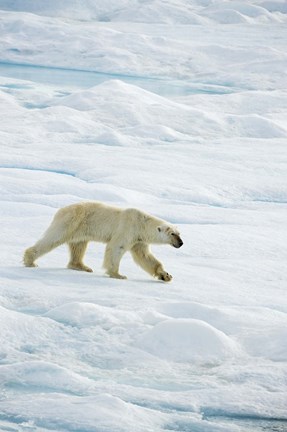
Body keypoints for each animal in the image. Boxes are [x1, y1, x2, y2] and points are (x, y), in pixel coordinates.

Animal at [23, 202, 183, 282]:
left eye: (179, 234)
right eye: (172, 234)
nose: (181, 243)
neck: (141, 223)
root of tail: (60, 210)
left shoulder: (139, 239)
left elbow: (145, 257)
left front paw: (166, 275)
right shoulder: (127, 229)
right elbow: (116, 247)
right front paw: (118, 275)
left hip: (81, 229)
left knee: (79, 246)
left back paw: (82, 266)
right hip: (71, 221)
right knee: (53, 238)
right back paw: (30, 261)